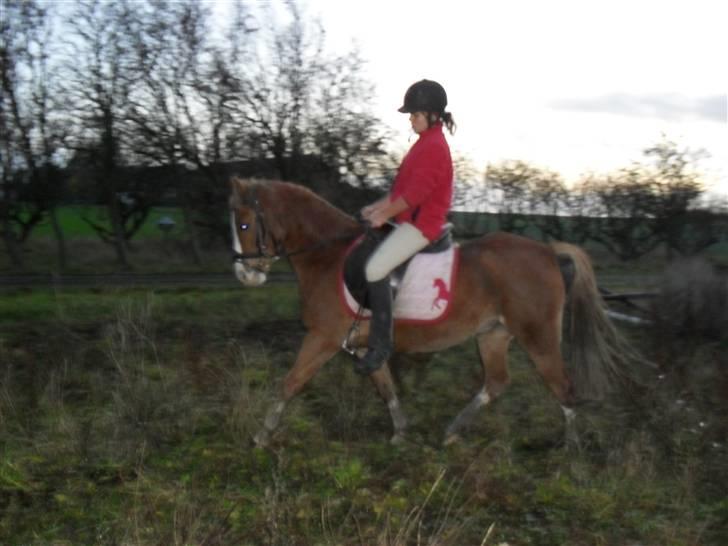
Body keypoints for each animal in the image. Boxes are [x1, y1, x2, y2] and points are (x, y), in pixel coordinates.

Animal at [229, 177, 636, 447]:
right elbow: (385, 387)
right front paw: (400, 432)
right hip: (493, 334)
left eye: (245, 224)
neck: (328, 256)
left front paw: (261, 436)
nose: (245, 275)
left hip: (538, 335)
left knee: (562, 385)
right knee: (497, 381)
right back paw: (453, 431)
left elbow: (291, 382)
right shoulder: (361, 345)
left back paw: (570, 451)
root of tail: (549, 251)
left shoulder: (322, 338)